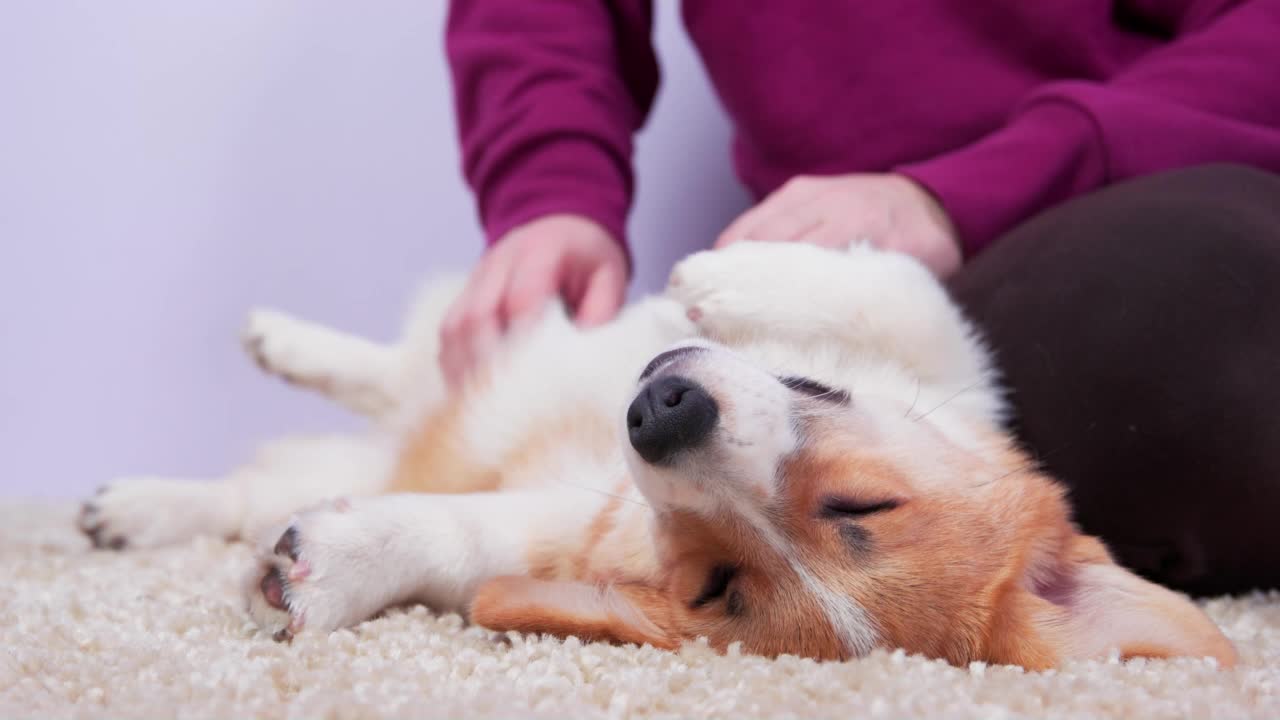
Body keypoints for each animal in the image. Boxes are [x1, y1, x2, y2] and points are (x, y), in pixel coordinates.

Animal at [74, 240, 1233, 666]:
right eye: (866, 506)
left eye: (717, 586)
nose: (663, 411)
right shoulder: (938, 342)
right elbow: (878, 282)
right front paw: (726, 273)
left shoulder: (576, 512)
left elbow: (446, 539)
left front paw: (321, 572)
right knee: (405, 365)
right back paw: (277, 344)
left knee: (270, 477)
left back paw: (137, 507)